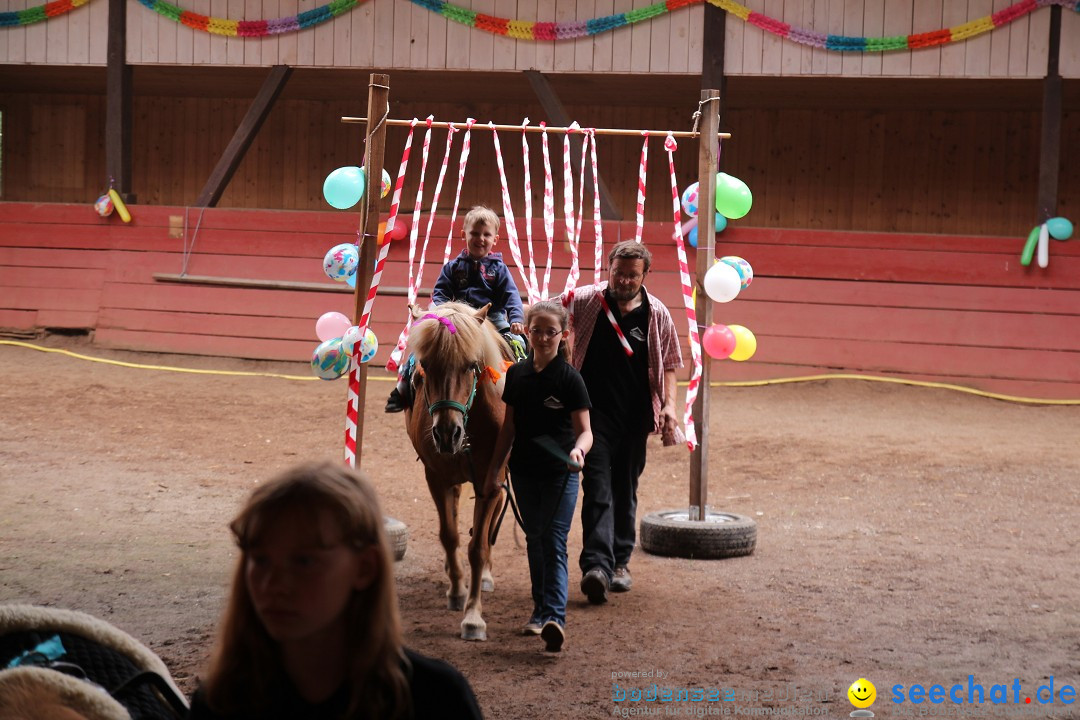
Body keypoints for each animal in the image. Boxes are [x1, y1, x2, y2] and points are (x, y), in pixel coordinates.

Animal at [403, 302, 511, 639]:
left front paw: (474, 616)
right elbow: (449, 535)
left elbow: (478, 547)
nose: (447, 434)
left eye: (471, 366)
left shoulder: (491, 481)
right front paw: (456, 591)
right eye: (426, 366)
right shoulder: (436, 477)